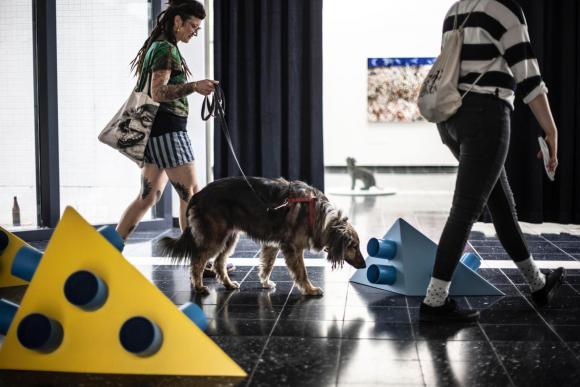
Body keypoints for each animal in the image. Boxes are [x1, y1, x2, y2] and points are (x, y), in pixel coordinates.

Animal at [157, 177, 368, 298]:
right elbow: (302, 272)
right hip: (215, 238)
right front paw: (310, 289)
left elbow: (267, 265)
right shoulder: (293, 248)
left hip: (229, 237)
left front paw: (265, 283)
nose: (365, 265)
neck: (318, 215)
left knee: (218, 263)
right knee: (198, 261)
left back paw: (228, 284)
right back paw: (199, 287)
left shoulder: (272, 245)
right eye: (354, 246)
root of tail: (198, 195)